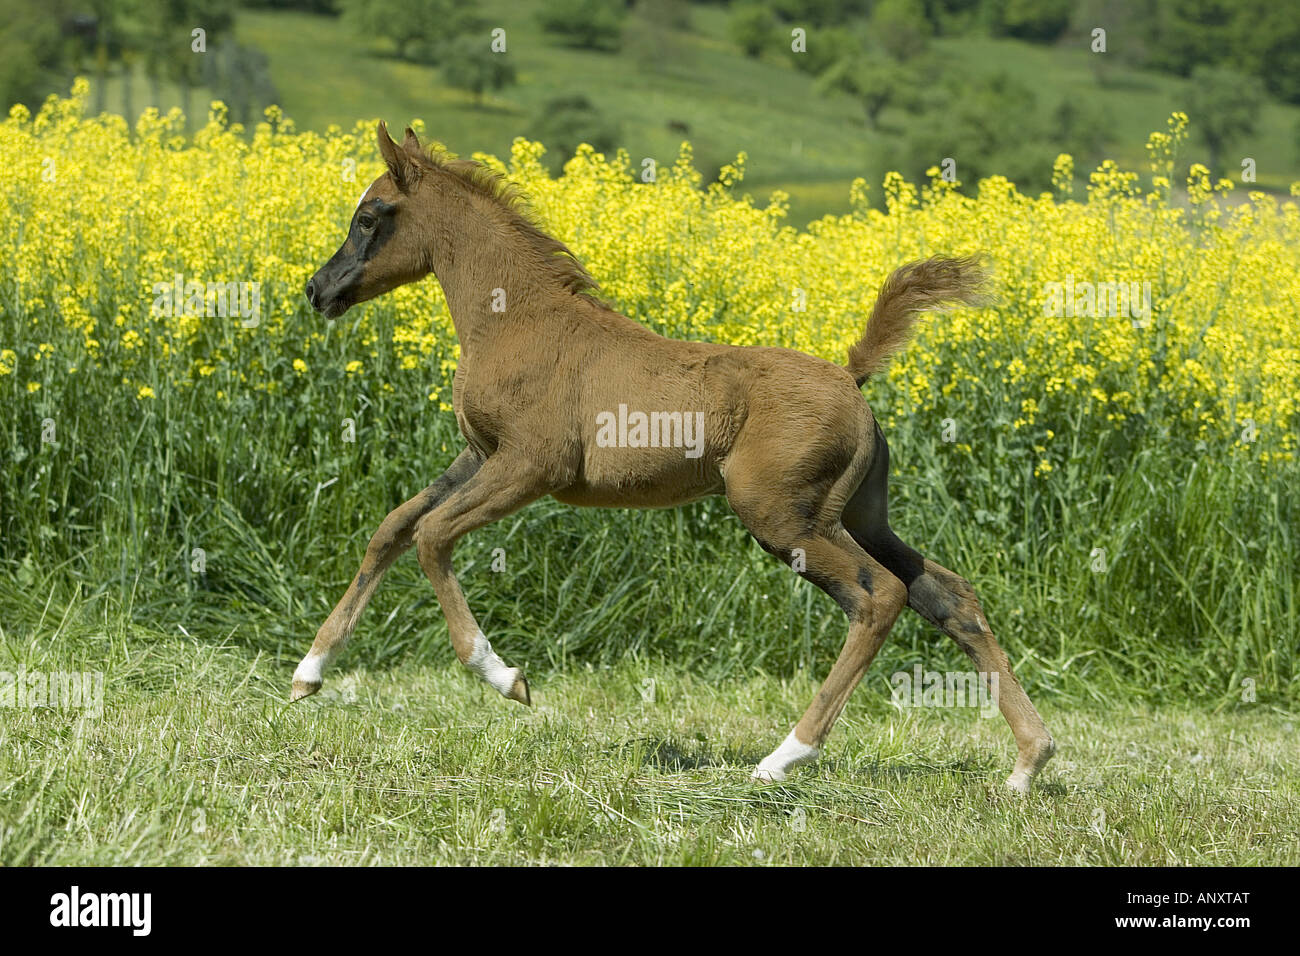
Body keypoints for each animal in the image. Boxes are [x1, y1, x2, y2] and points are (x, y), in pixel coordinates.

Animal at [292, 121, 1056, 793]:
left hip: (783, 517)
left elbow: (432, 536)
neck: (515, 318)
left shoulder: (532, 466)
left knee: (879, 597)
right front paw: (308, 673)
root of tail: (851, 375)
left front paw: (506, 678)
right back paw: (1028, 763)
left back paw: (783, 758)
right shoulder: (479, 455)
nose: (318, 290)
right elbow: (392, 528)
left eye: (370, 216)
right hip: (859, 514)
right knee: (947, 593)